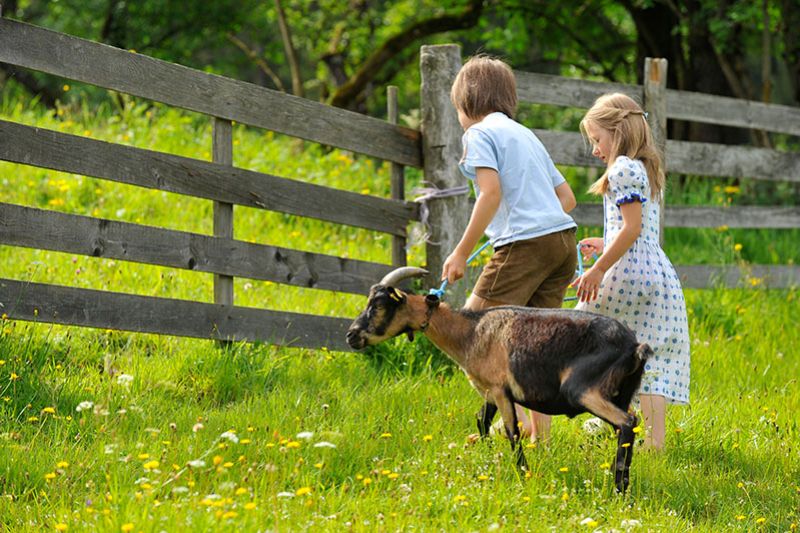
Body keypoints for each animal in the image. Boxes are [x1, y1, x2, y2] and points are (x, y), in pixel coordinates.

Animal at [346, 266, 652, 490]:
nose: (351, 335)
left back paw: (619, 486)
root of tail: (634, 346)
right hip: (621, 392)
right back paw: (621, 481)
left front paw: (523, 473)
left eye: (378, 305)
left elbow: (512, 432)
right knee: (626, 427)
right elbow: (482, 422)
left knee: (627, 422)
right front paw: (486, 459)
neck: (470, 332)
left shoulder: (500, 389)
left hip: (583, 389)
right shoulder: (489, 391)